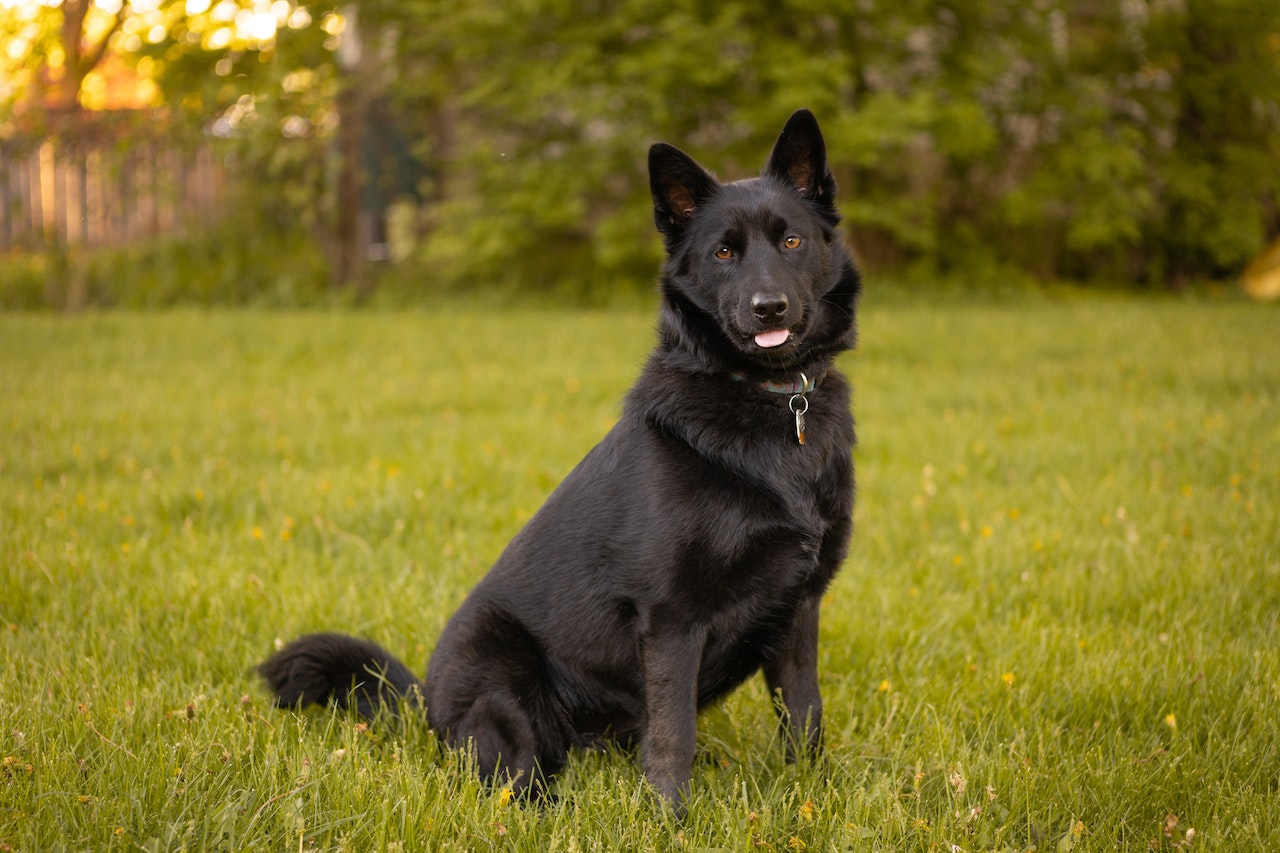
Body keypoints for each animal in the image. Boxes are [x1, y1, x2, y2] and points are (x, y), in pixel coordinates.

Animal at [258, 109, 860, 809]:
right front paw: (670, 815)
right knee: (509, 773)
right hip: (505, 681)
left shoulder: (799, 609)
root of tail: (424, 706)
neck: (771, 402)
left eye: (791, 242)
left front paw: (813, 792)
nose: (769, 309)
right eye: (723, 253)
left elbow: (806, 714)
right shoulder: (672, 620)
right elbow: (673, 734)